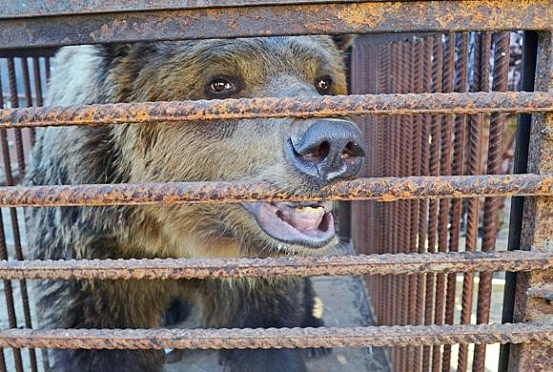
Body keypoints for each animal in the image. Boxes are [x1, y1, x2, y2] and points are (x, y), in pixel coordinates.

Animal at [25, 35, 364, 372]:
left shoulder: (253, 274)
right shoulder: (91, 250)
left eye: (324, 81)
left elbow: (266, 331)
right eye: (220, 83)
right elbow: (96, 342)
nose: (334, 142)